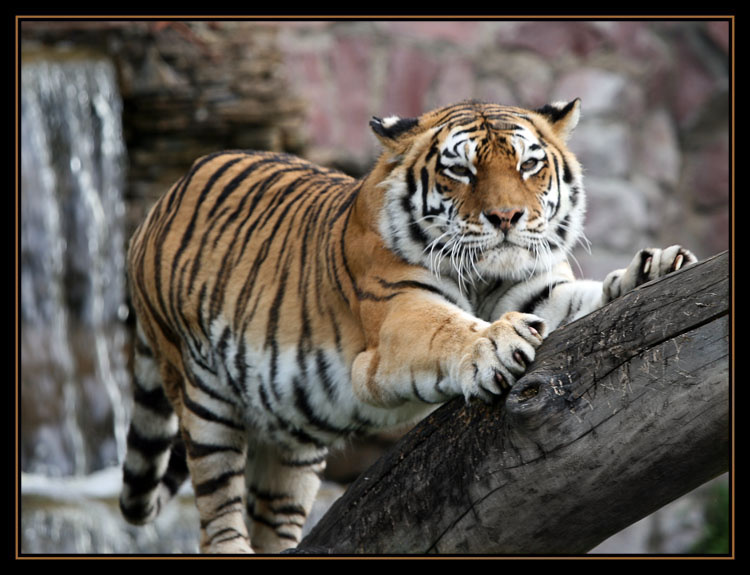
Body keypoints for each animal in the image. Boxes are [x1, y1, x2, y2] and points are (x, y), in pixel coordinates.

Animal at [119, 99, 696, 554]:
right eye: (461, 171)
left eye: (530, 165)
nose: (507, 218)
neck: (486, 274)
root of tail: (167, 192)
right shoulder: (400, 311)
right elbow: (449, 329)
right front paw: (495, 342)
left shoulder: (540, 292)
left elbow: (591, 299)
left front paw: (656, 267)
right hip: (201, 396)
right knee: (216, 502)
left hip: (291, 439)